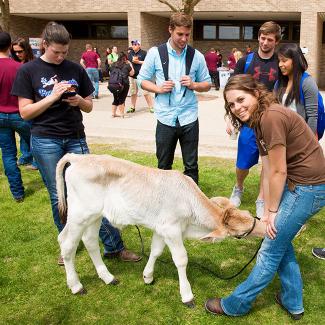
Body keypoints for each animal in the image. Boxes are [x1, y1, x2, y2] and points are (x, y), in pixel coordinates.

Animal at [55, 153, 264, 306]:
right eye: (240, 234)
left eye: (247, 213)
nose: (264, 228)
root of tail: (78, 157)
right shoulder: (171, 229)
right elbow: (181, 259)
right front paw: (187, 295)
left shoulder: (161, 228)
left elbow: (155, 251)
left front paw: (147, 276)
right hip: (79, 214)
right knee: (66, 243)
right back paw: (76, 285)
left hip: (95, 216)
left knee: (90, 241)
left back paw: (108, 277)